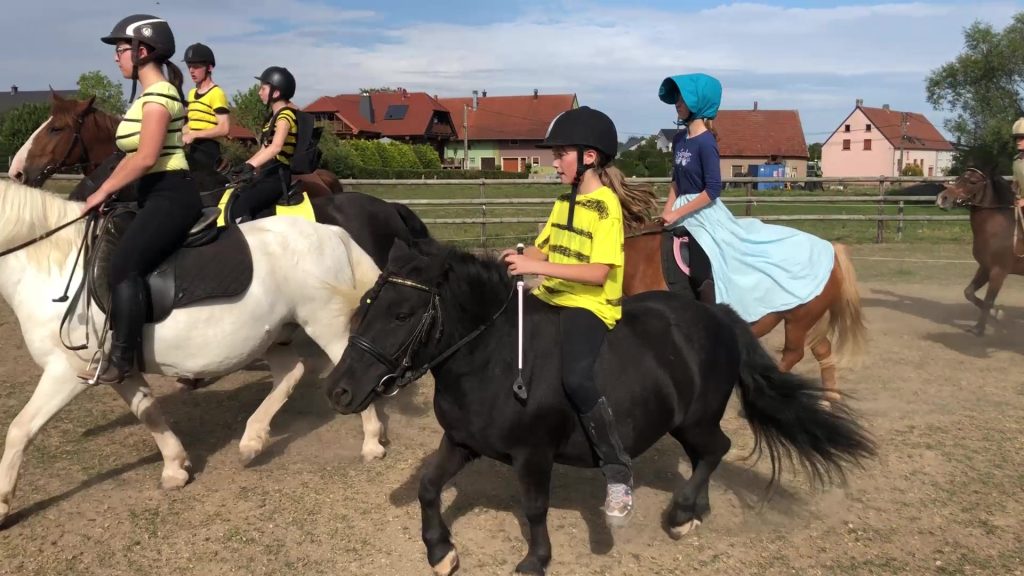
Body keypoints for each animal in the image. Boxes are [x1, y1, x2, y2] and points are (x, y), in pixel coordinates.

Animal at [325, 237, 872, 573]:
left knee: (716, 448)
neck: (495, 358)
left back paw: (682, 514)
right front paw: (441, 552)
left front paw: (536, 560)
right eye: (367, 303)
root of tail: (717, 314)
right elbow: (428, 486)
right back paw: (696, 510)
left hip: (696, 419)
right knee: (707, 455)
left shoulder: (533, 455)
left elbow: (534, 507)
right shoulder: (461, 441)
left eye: (402, 313)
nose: (338, 391)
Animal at [618, 217, 868, 401]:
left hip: (797, 320)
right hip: (810, 320)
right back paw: (830, 400)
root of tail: (831, 249)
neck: (640, 259)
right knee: (823, 351)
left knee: (793, 354)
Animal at [937, 166, 1024, 334]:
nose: (943, 198)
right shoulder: (985, 267)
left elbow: (989, 300)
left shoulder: (998, 271)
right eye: (958, 178)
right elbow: (969, 293)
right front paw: (996, 314)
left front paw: (980, 329)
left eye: (972, 181)